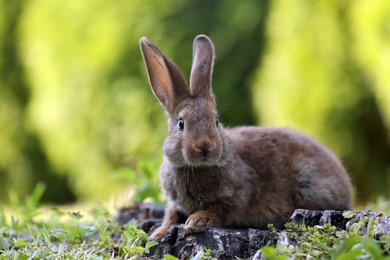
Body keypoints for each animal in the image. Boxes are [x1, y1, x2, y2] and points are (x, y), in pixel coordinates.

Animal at [140, 34, 354, 240]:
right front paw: (157, 234)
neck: (197, 168)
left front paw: (197, 221)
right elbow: (170, 216)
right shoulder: (174, 203)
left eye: (216, 121)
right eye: (181, 124)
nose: (205, 146)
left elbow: (218, 211)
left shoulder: (237, 195)